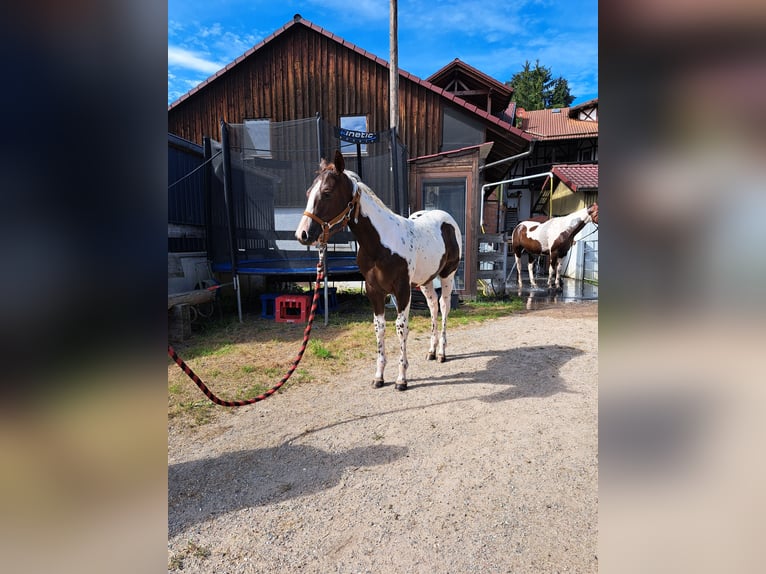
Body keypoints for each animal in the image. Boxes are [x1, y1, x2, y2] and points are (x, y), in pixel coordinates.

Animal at [296, 152, 462, 392]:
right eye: (309, 192)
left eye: (327, 192)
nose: (303, 234)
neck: (380, 244)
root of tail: (446, 218)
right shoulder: (374, 291)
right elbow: (379, 328)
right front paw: (379, 376)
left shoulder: (402, 290)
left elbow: (401, 328)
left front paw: (402, 378)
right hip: (426, 280)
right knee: (432, 306)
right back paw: (431, 351)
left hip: (447, 274)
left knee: (444, 306)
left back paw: (441, 353)